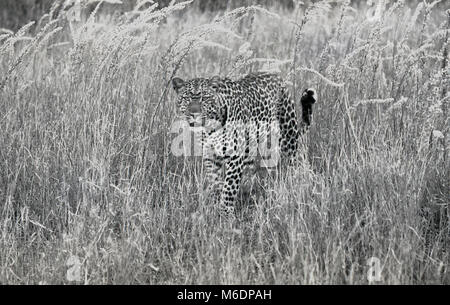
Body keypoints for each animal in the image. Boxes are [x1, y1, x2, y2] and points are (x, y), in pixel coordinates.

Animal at [172, 72, 316, 216]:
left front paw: (225, 214)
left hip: (288, 134)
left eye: (205, 98)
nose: (194, 113)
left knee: (296, 161)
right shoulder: (210, 156)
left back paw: (298, 185)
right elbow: (215, 182)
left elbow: (229, 187)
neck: (209, 128)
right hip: (250, 148)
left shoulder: (235, 156)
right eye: (186, 98)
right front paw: (215, 205)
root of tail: (276, 75)